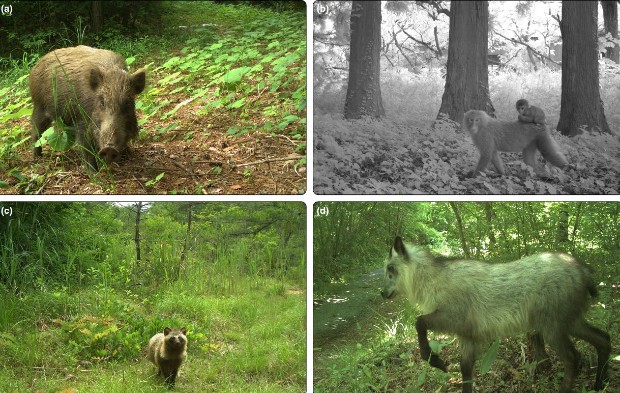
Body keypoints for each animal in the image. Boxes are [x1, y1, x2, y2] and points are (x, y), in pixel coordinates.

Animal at [380, 236, 608, 392]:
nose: (382, 292)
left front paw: (435, 361)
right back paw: (600, 383)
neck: (433, 280)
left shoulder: (456, 318)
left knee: (573, 358)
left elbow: (419, 323)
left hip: (551, 326)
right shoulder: (468, 335)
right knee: (603, 338)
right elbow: (465, 370)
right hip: (570, 321)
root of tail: (583, 271)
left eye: (391, 268)